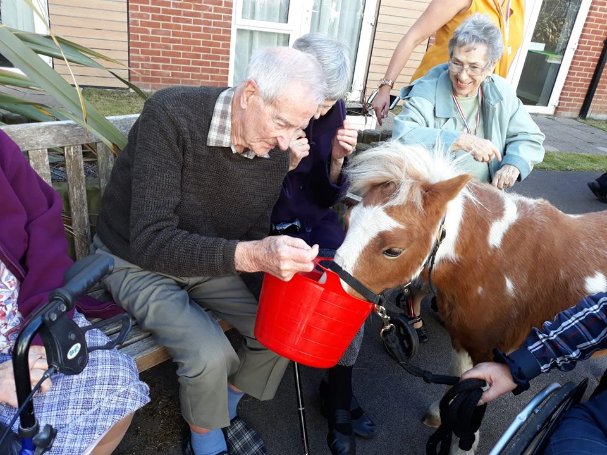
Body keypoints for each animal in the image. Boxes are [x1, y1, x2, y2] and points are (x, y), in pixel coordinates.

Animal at [334, 142, 604, 432]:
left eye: (393, 250)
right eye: (347, 222)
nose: (330, 285)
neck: (494, 258)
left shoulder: (490, 354)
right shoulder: (464, 338)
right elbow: (461, 378)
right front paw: (440, 415)